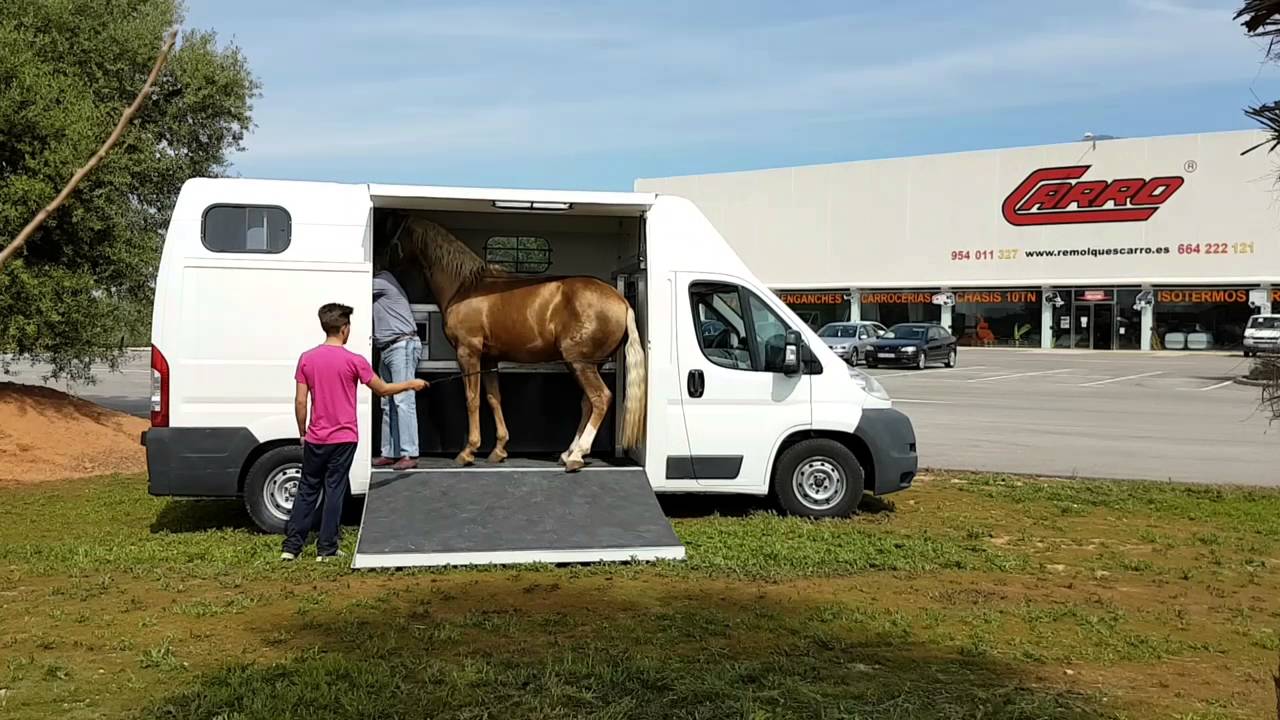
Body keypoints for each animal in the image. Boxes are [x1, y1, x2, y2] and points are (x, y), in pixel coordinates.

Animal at [387, 212, 646, 472]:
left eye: (390, 231)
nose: (384, 266)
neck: (464, 287)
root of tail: (622, 301)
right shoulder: (489, 360)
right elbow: (493, 399)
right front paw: (499, 450)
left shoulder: (468, 354)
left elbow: (472, 399)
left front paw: (467, 452)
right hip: (588, 364)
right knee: (587, 402)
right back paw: (569, 452)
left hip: (580, 363)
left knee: (600, 398)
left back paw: (576, 456)